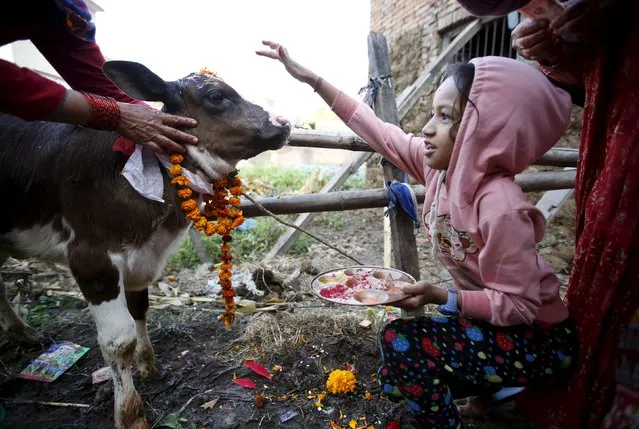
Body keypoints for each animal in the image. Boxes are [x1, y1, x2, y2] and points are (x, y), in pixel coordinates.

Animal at [0, 61, 288, 428]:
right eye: (216, 95)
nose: (281, 123)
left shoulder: (142, 258)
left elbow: (140, 311)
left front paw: (148, 365)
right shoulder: (91, 259)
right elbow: (118, 342)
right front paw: (130, 413)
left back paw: (21, 333)